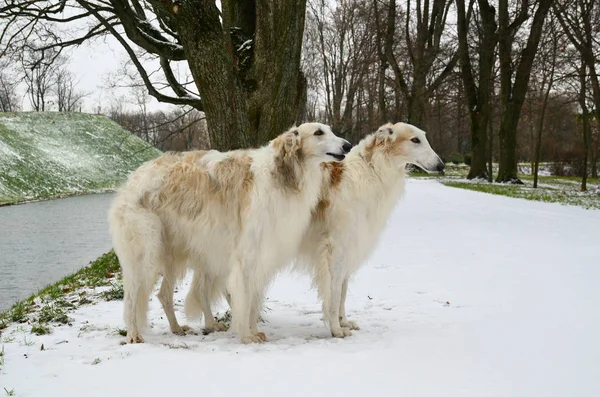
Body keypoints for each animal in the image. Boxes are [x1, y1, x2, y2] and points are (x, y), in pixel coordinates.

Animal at [108, 122, 352, 342]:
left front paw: (254, 331)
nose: (348, 145)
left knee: (165, 294)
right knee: (131, 298)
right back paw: (133, 334)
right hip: (145, 252)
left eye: (330, 130)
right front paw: (247, 335)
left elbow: (253, 301)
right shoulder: (247, 255)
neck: (280, 174)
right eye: (318, 132)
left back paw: (178, 328)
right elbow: (244, 298)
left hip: (172, 254)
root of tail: (131, 179)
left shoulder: (263, 255)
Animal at [296, 120, 446, 334]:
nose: (441, 165)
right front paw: (336, 329)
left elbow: (342, 292)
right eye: (415, 140)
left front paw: (343, 321)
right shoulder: (336, 248)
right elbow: (334, 293)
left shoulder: (350, 247)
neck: (370, 170)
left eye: (423, 138)